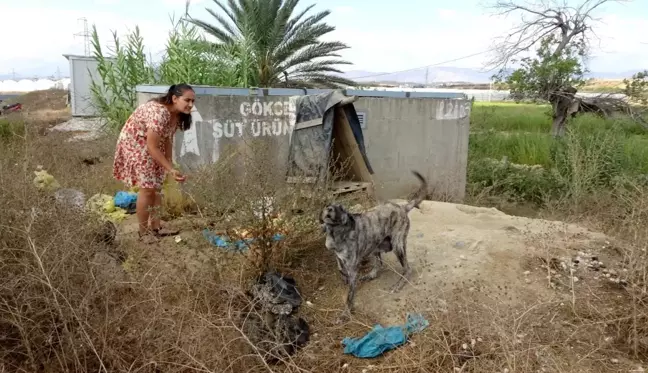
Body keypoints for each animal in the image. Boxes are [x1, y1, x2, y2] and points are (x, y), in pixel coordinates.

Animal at [320, 170, 430, 318]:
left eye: (341, 208)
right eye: (328, 205)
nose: (329, 208)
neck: (336, 233)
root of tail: (402, 207)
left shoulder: (353, 268)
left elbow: (349, 295)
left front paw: (346, 313)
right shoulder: (338, 257)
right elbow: (340, 269)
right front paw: (345, 278)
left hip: (397, 245)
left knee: (407, 268)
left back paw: (399, 284)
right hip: (375, 246)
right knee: (379, 264)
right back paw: (369, 275)